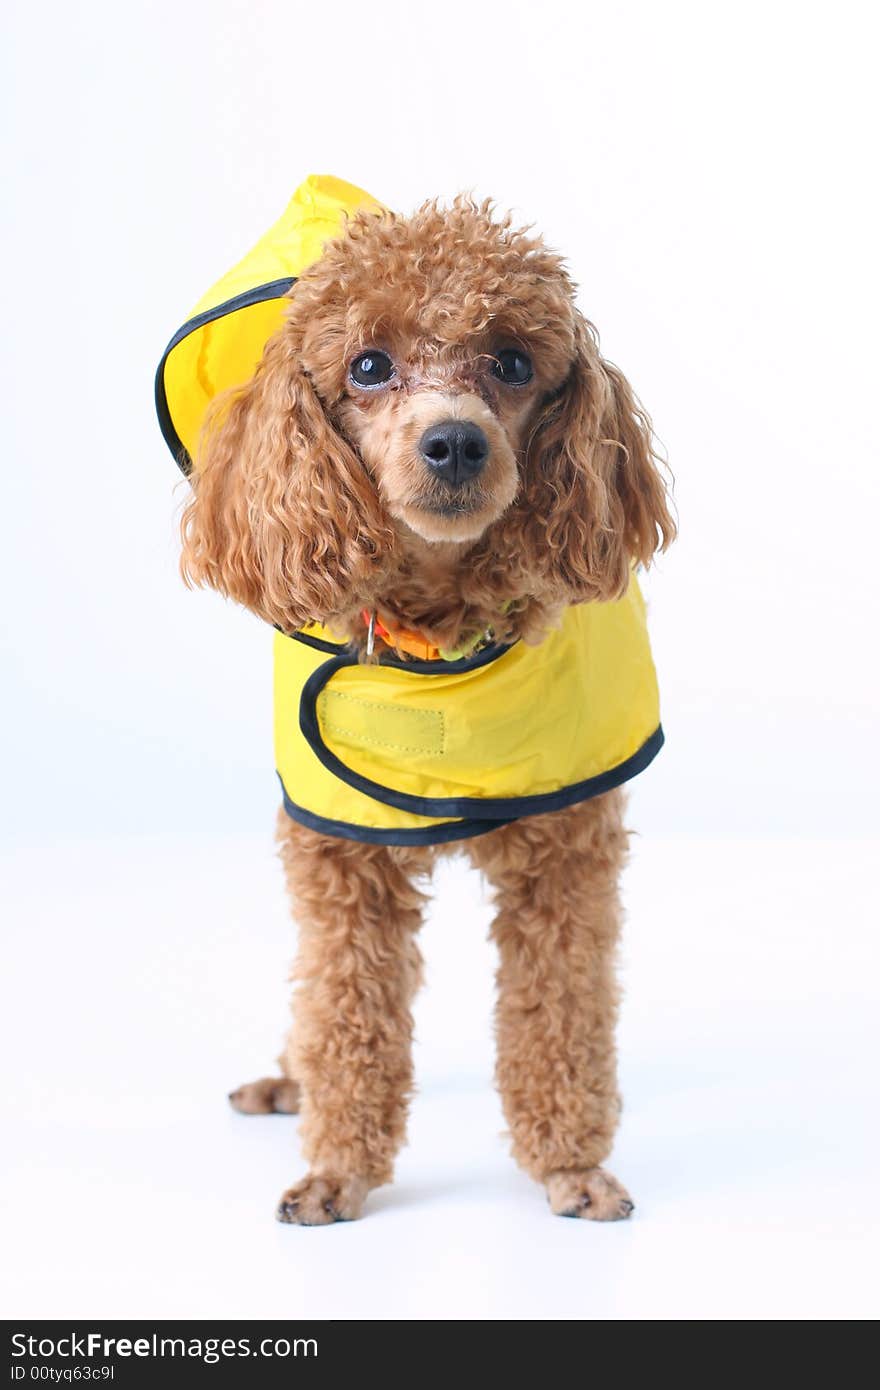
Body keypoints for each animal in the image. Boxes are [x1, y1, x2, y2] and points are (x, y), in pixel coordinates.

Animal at [176, 193, 672, 1217]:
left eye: (514, 362)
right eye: (369, 365)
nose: (453, 441)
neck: (440, 644)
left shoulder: (567, 860)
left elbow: (561, 1016)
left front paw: (569, 1161)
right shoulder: (340, 863)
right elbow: (343, 1010)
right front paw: (337, 1167)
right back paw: (288, 1079)